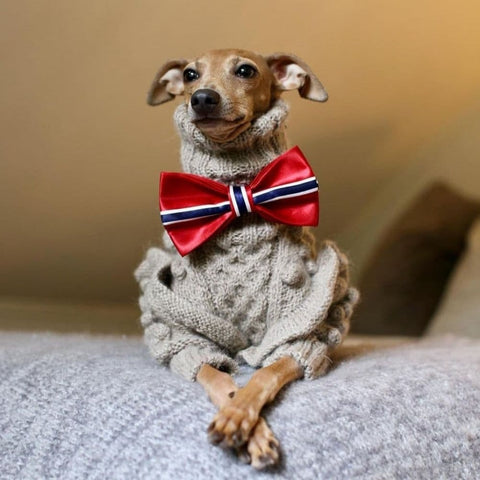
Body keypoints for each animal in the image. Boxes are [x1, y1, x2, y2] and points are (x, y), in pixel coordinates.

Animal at [133, 48, 358, 468]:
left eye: (245, 70)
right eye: (190, 74)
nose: (202, 98)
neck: (236, 198)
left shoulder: (299, 329)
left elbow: (262, 375)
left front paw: (241, 418)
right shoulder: (189, 332)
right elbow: (220, 377)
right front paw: (240, 419)